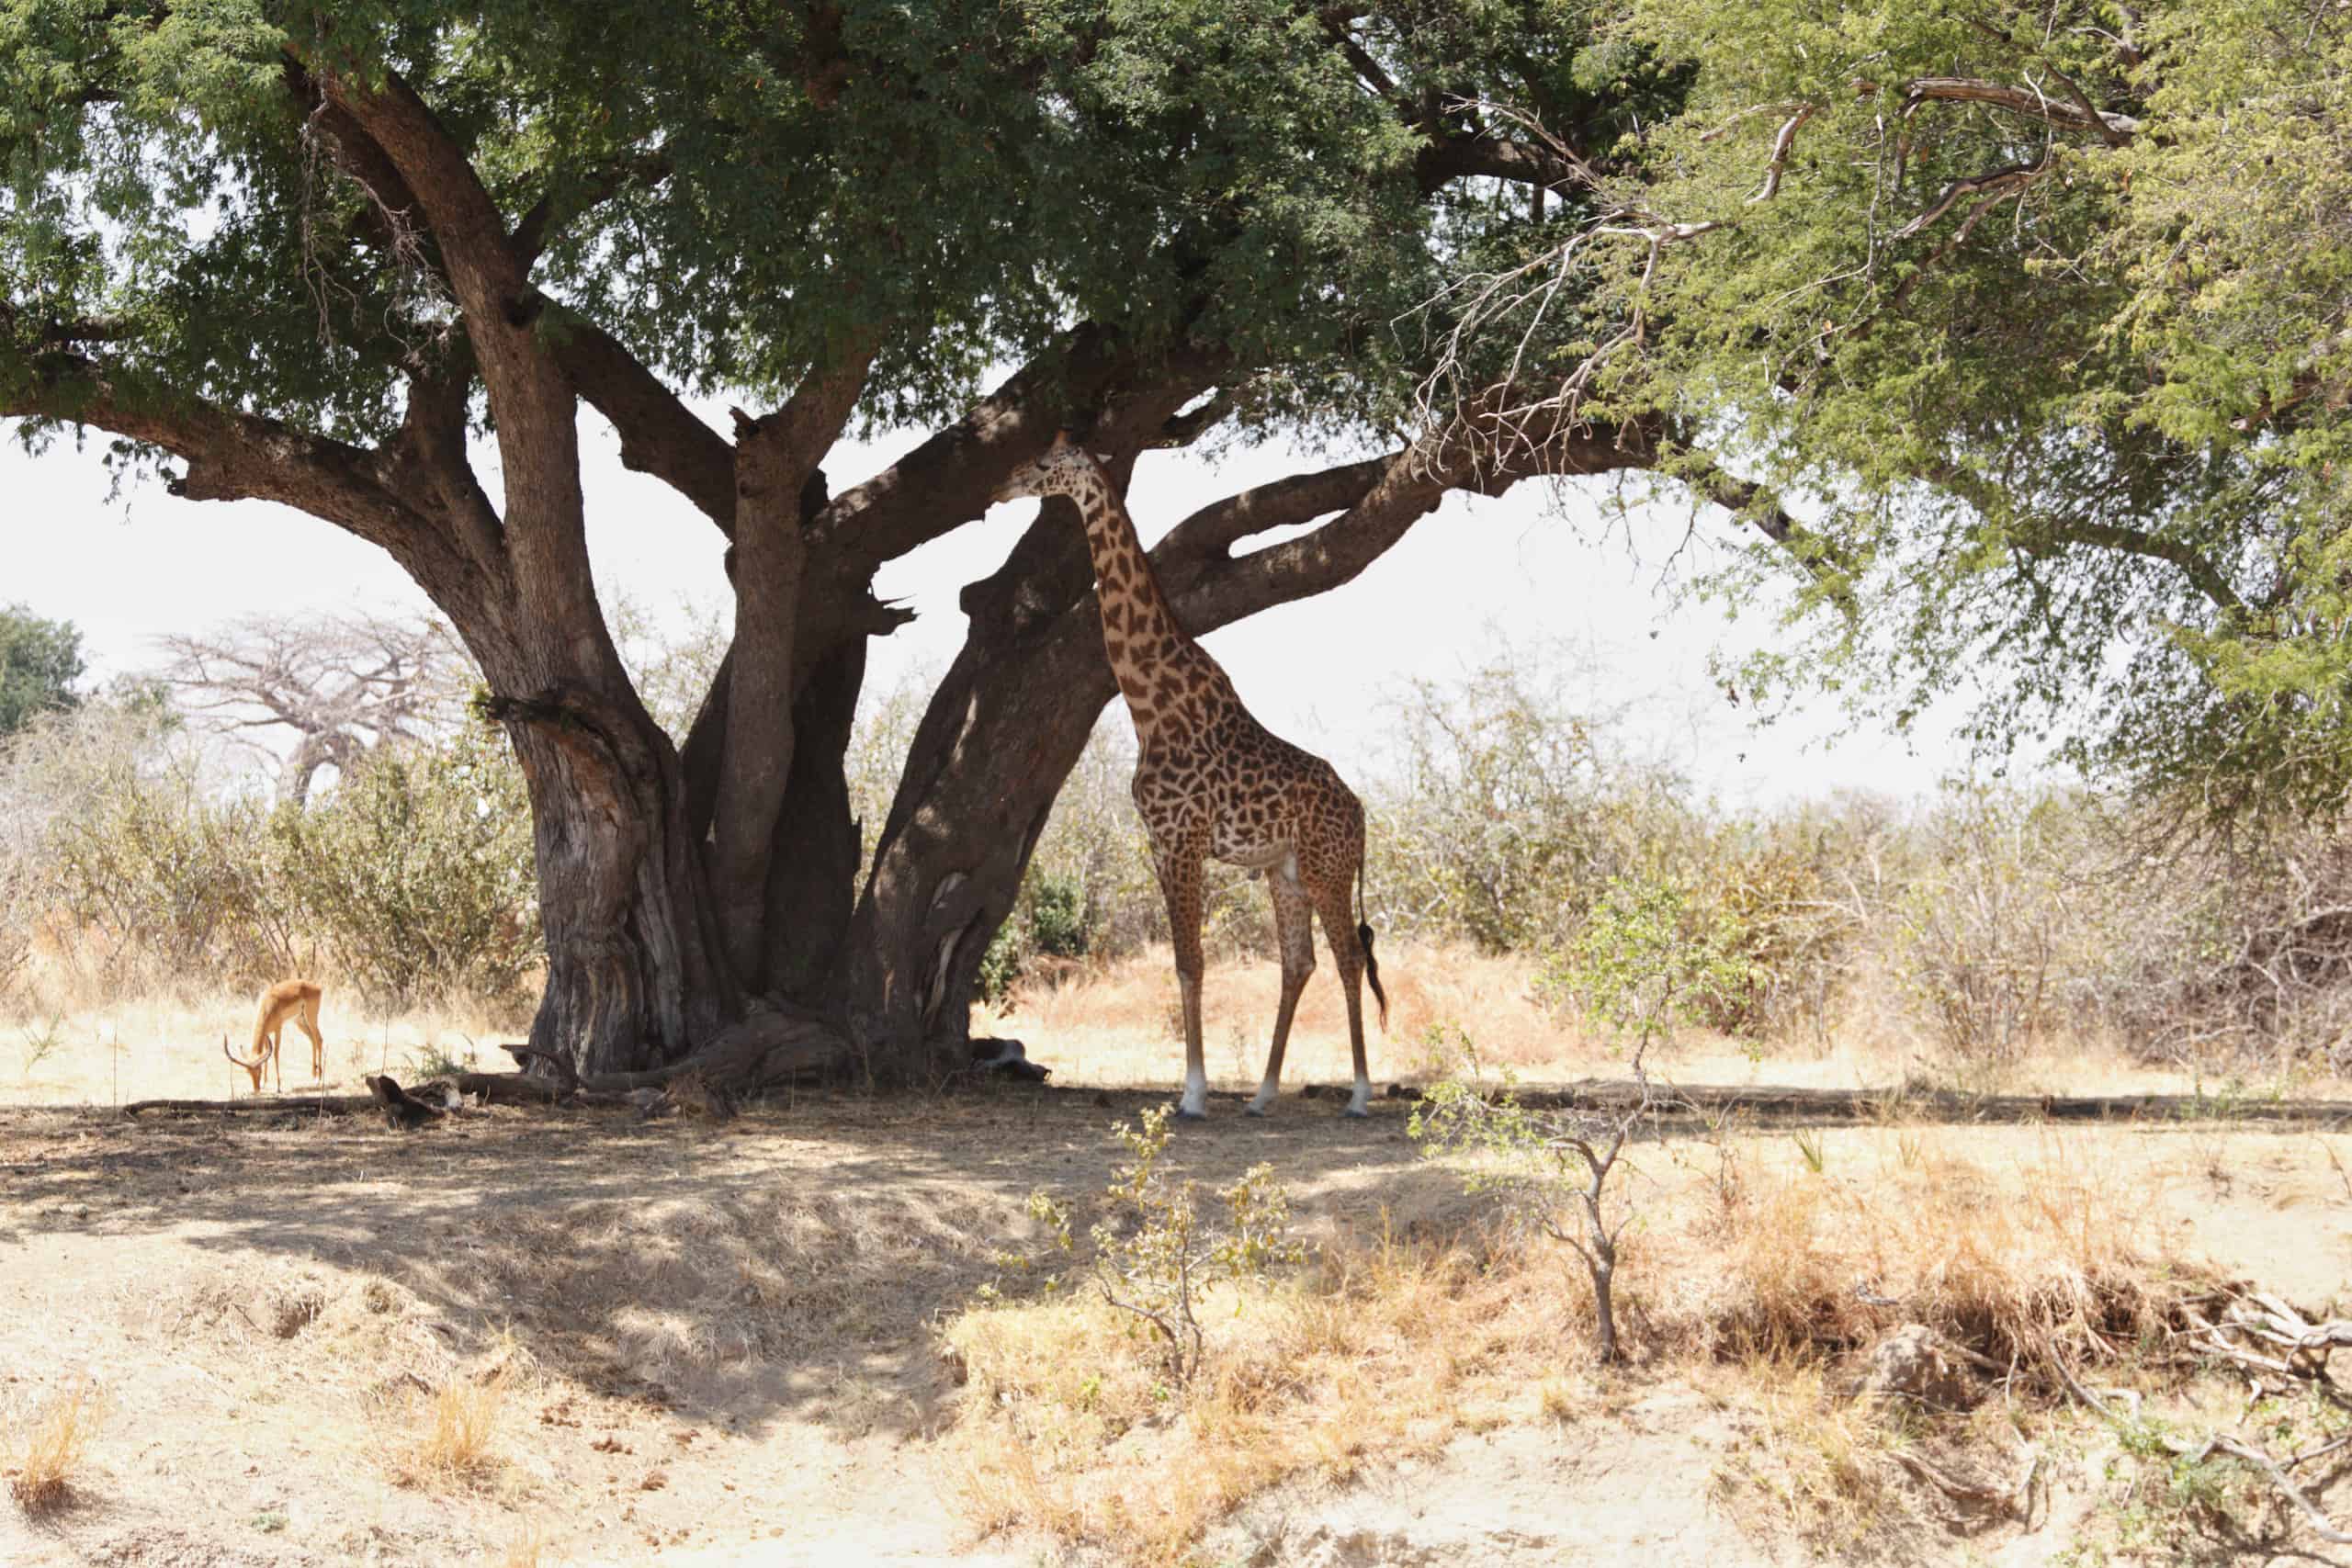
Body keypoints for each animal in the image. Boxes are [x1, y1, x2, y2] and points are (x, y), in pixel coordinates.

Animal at [988, 430, 1383, 1114]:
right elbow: (1182, 961)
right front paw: (1196, 1088)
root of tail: (1361, 812)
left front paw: (1193, 1094)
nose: (999, 486)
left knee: (1349, 957)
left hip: (1326, 868)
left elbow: (1193, 962)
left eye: (1043, 462)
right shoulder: (1159, 841)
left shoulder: (1184, 838)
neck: (1148, 703)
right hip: (1284, 870)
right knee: (1299, 962)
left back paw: (1358, 1094)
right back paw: (1261, 1094)